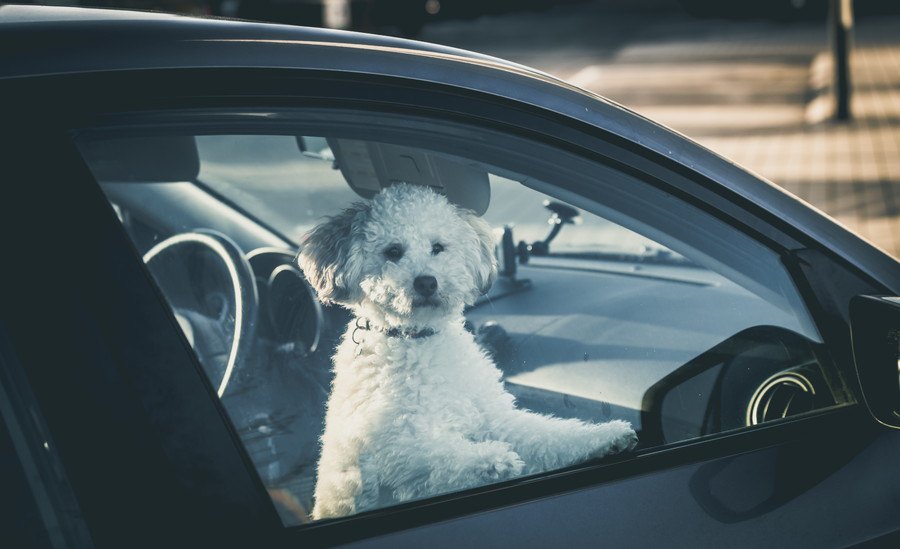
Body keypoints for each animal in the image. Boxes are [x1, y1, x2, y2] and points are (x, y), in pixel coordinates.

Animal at [298, 183, 636, 520]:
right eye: (393, 251)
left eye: (437, 247)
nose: (427, 282)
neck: (419, 340)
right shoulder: (390, 445)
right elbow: (437, 455)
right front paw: (488, 460)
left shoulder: (497, 420)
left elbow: (549, 435)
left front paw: (605, 436)